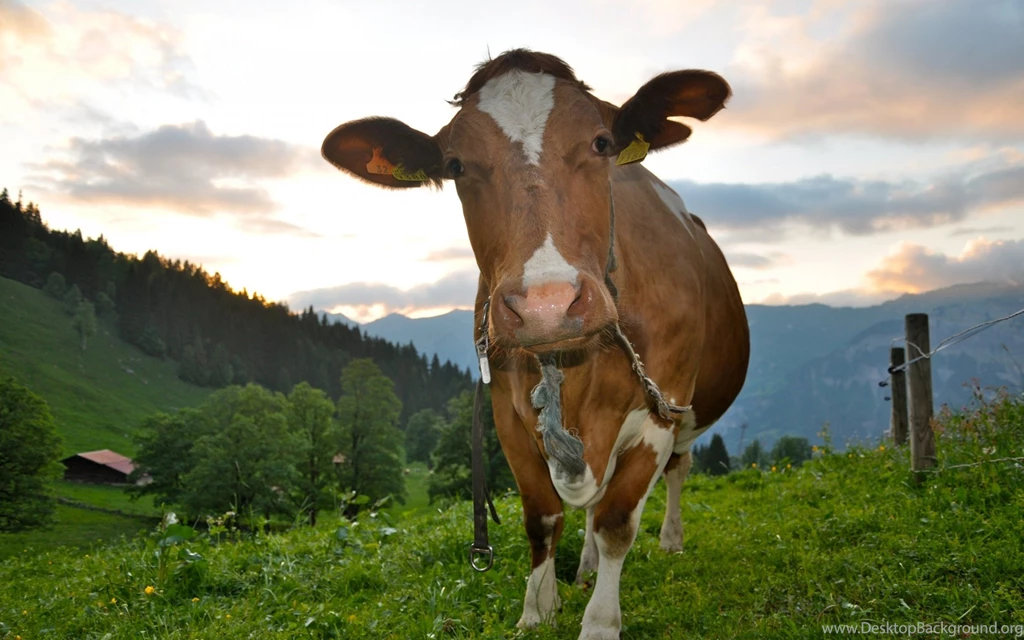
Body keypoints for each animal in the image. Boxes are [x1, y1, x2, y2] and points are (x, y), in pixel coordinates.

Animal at [321, 49, 750, 640]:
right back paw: (585, 569)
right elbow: (542, 517)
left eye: (602, 143)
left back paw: (669, 541)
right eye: (455, 165)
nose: (547, 304)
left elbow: (617, 520)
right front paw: (537, 609)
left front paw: (600, 623)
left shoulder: (660, 405)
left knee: (675, 472)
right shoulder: (506, 412)